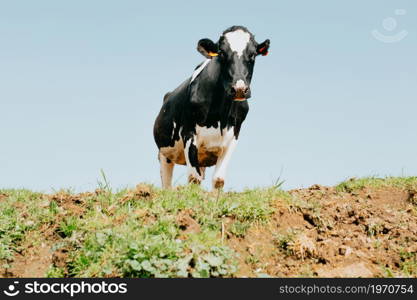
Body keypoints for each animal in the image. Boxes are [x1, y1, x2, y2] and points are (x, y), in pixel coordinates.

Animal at [154, 26, 270, 190]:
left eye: (253, 54)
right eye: (221, 53)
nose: (239, 89)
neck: (220, 115)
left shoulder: (233, 136)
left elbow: (218, 180)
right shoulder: (188, 134)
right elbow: (193, 178)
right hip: (164, 153)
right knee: (167, 183)